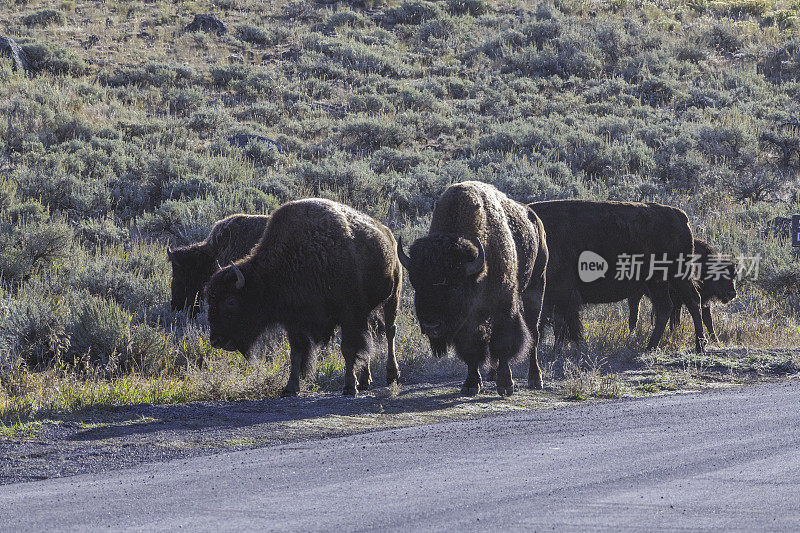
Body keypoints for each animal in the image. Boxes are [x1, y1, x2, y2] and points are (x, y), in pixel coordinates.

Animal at [203, 196, 400, 394]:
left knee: (390, 331)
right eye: (211, 300)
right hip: (369, 312)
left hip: (392, 297)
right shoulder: (295, 323)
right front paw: (290, 388)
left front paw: (350, 386)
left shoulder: (349, 314)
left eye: (231, 301)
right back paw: (366, 380)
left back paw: (391, 375)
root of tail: (388, 234)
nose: (216, 340)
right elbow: (296, 354)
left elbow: (348, 350)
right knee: (371, 338)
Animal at [396, 182, 548, 394]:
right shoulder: (466, 321)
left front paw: (506, 384)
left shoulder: (504, 306)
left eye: (454, 286)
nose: (431, 326)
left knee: (534, 333)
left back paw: (535, 378)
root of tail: (535, 219)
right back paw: (492, 374)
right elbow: (471, 349)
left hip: (536, 286)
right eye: (416, 283)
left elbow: (503, 343)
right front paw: (471, 384)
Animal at [532, 200, 708, 354]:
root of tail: (681, 216)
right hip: (657, 282)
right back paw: (651, 347)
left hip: (678, 276)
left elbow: (560, 325)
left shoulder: (562, 295)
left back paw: (699, 346)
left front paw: (557, 350)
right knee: (665, 307)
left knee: (693, 301)